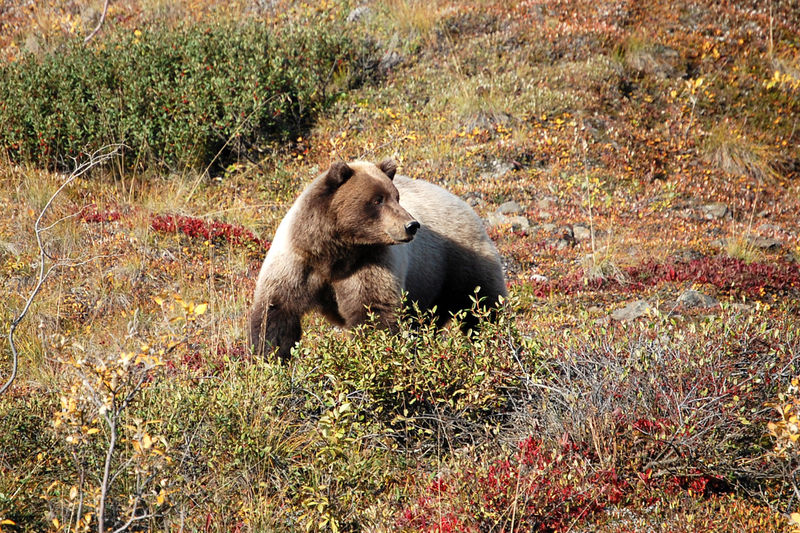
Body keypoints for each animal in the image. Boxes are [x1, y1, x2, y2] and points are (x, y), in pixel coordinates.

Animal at [252, 157, 506, 358]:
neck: (336, 254)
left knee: (483, 305)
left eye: (396, 196)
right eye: (377, 199)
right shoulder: (298, 261)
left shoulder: (371, 261)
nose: (411, 225)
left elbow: (373, 310)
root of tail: (464, 205)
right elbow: (275, 310)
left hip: (460, 263)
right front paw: (269, 357)